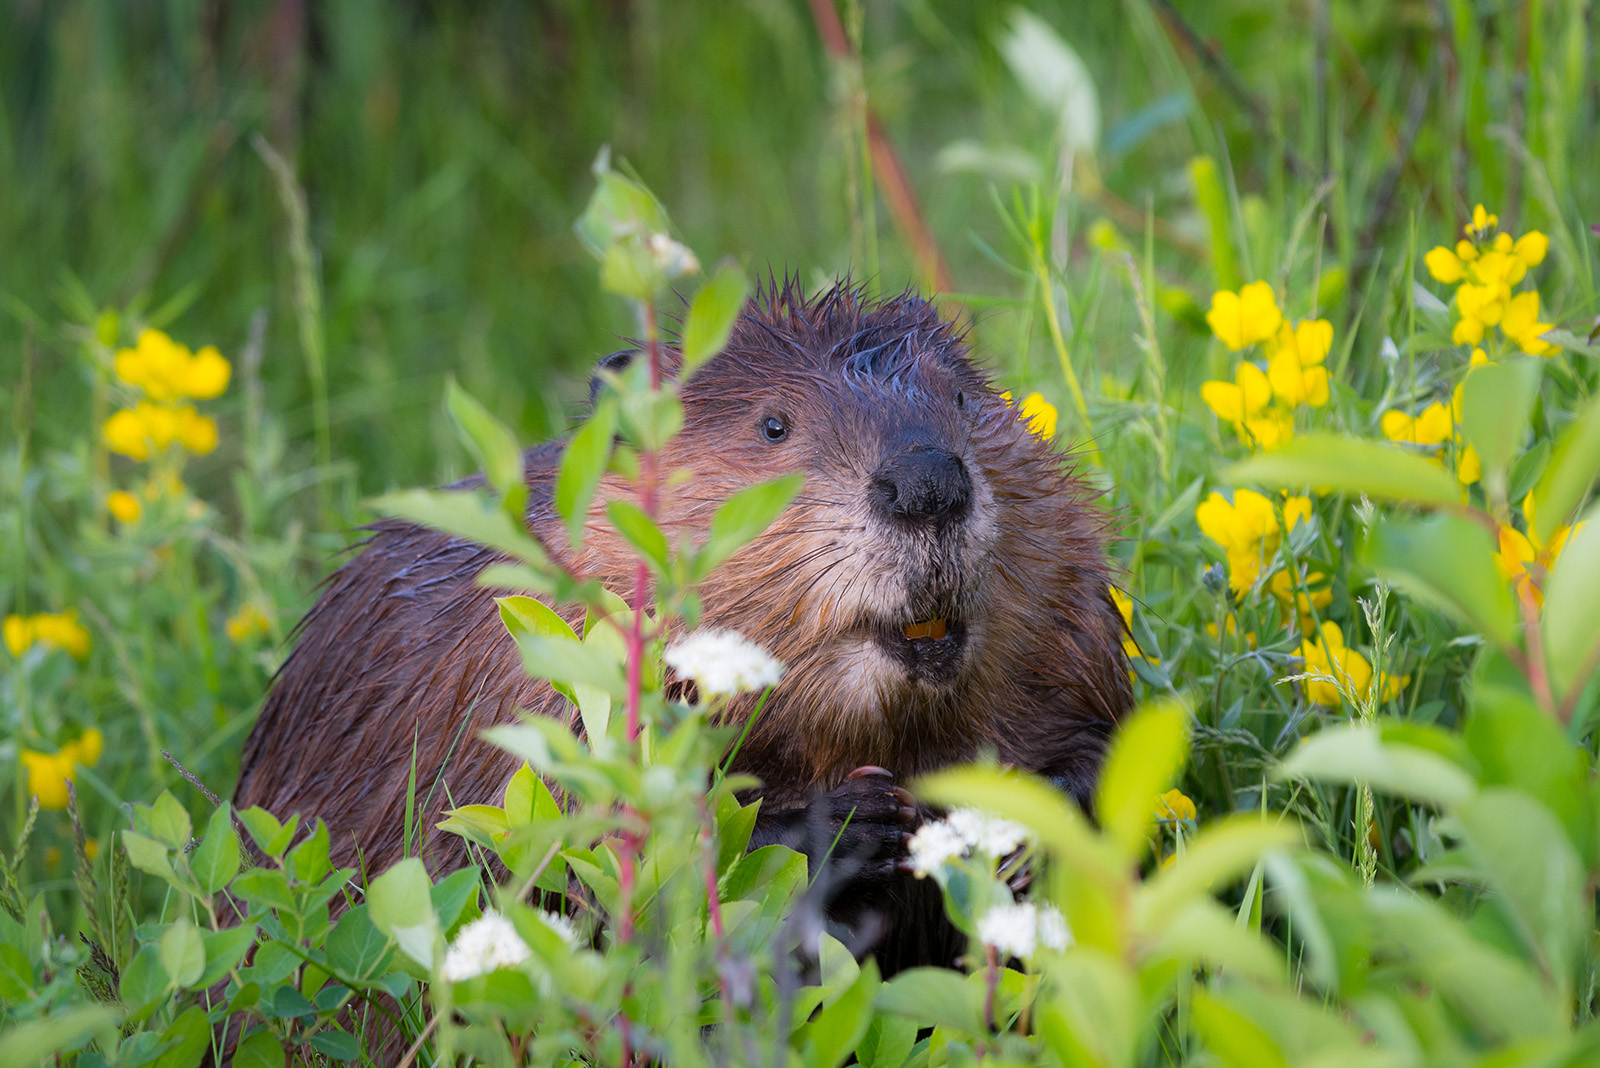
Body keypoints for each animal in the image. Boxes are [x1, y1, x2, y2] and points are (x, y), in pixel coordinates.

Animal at [233, 279, 1139, 972]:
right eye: (773, 425)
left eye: (962, 398)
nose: (926, 482)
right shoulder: (518, 691)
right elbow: (556, 867)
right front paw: (857, 820)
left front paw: (1029, 812)